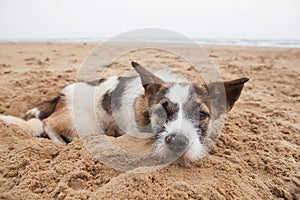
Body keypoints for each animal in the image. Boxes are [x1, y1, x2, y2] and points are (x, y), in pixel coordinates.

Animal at [0, 62, 248, 162]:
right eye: (162, 111)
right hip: (85, 123)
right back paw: (59, 142)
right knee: (47, 123)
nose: (178, 142)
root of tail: (59, 97)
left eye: (202, 115)